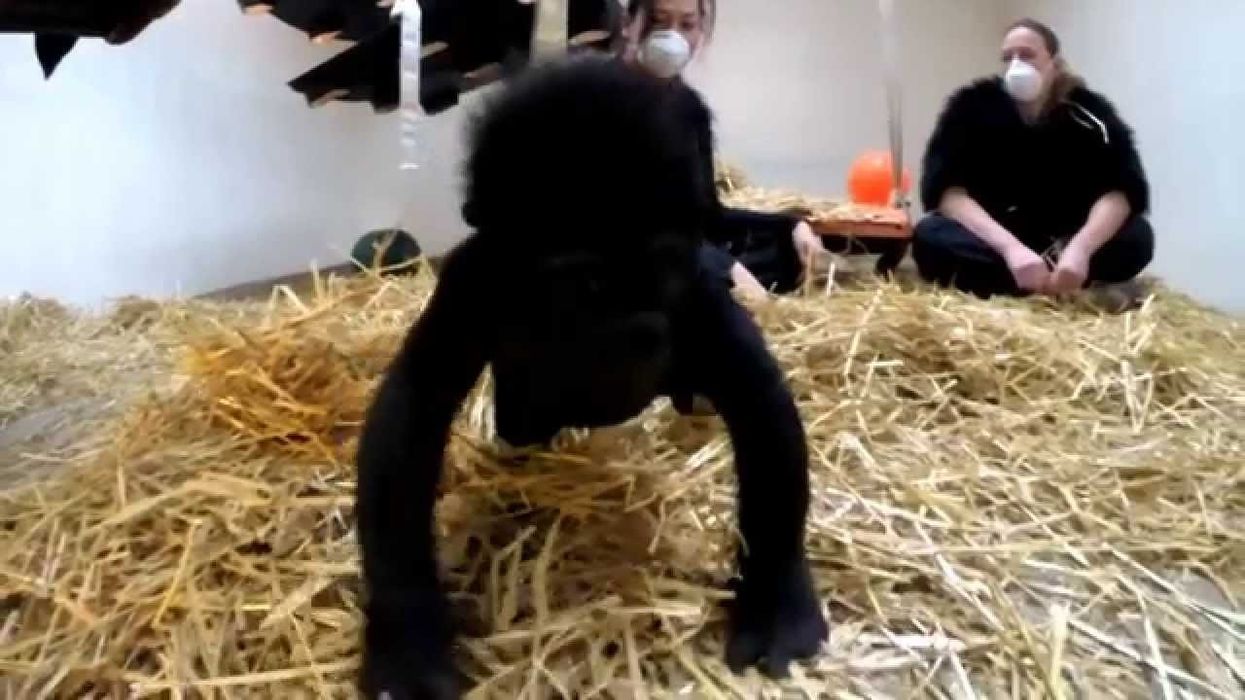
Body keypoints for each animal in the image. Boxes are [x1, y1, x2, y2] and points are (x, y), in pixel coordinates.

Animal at [355, 57, 828, 699]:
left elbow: (759, 403)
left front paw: (775, 595)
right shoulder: (473, 279)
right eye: (584, 282)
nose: (629, 331)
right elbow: (412, 410)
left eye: (657, 267)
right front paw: (407, 635)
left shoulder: (695, 287)